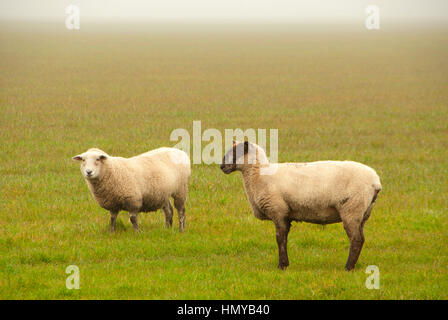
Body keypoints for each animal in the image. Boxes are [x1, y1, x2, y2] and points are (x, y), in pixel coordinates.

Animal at [220, 141, 382, 272]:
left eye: (236, 152)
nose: (221, 167)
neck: (259, 173)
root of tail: (376, 182)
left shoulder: (278, 211)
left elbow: (280, 239)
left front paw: (282, 266)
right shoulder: (286, 215)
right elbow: (284, 238)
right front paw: (285, 264)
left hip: (351, 210)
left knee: (356, 240)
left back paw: (348, 267)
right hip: (363, 213)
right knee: (361, 238)